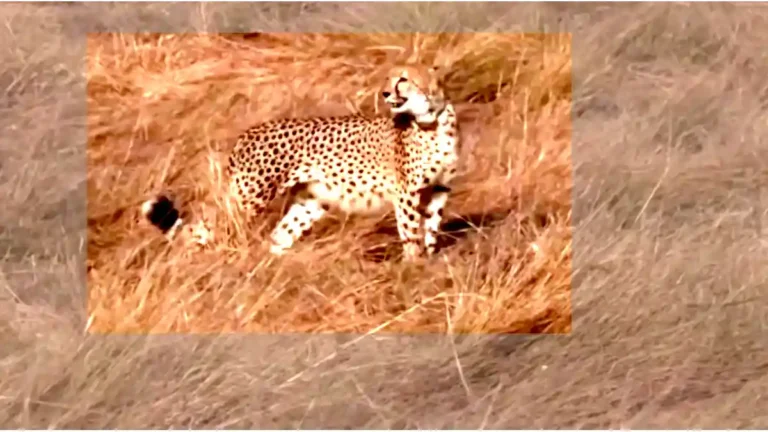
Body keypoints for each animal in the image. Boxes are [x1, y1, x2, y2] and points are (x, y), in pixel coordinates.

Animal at [142, 63, 460, 261]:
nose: (384, 93)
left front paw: (430, 259)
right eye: (388, 79)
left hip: (311, 201)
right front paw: (413, 263)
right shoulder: (406, 192)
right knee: (206, 225)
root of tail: (247, 133)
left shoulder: (440, 188)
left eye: (402, 79)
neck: (433, 120)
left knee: (278, 234)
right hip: (249, 196)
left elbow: (431, 225)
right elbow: (410, 229)